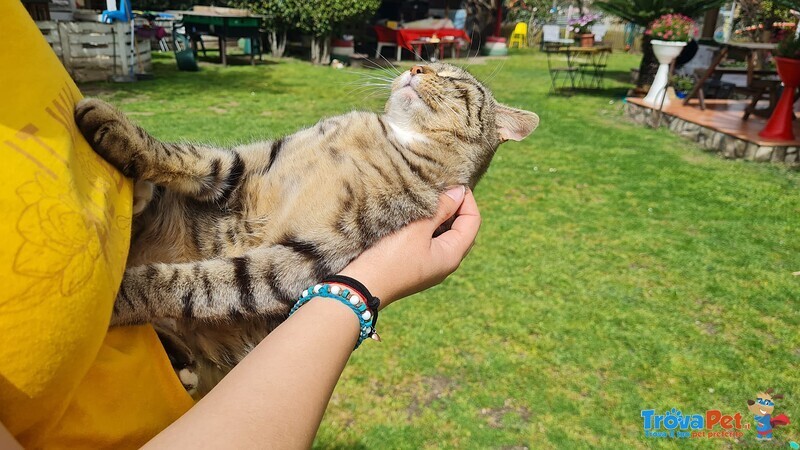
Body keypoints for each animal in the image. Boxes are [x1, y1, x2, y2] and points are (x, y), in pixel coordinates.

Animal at [73, 61, 536, 396]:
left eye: (454, 80)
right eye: (426, 61)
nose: (416, 67)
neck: (395, 140)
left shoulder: (306, 257)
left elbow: (199, 281)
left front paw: (116, 297)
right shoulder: (255, 160)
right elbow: (198, 159)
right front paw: (118, 129)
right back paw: (140, 193)